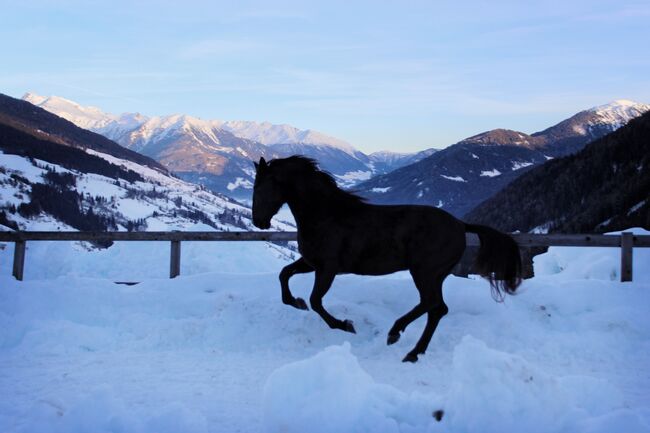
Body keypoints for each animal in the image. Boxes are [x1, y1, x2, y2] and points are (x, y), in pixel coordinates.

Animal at [251, 155, 520, 362]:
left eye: (261, 188)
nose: (259, 222)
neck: (326, 215)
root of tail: (461, 225)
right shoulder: (311, 263)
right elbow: (284, 274)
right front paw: (295, 302)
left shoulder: (328, 268)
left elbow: (316, 301)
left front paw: (345, 325)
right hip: (435, 275)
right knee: (437, 309)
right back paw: (413, 353)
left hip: (425, 272)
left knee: (431, 304)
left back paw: (396, 333)